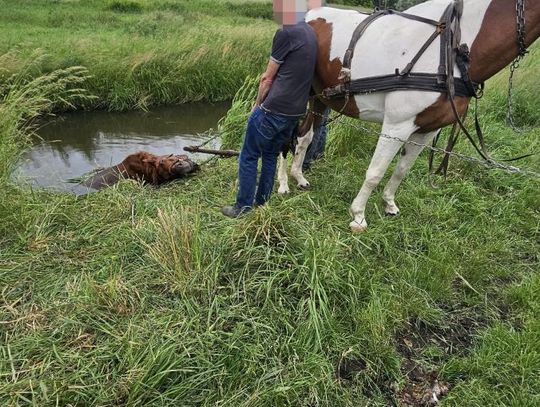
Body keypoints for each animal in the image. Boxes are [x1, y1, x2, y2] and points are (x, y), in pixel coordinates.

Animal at [276, 0, 536, 233]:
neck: (452, 50)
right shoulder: (397, 126)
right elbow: (375, 172)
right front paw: (358, 216)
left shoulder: (426, 129)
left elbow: (402, 170)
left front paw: (389, 204)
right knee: (286, 137)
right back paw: (283, 184)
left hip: (320, 98)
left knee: (304, 136)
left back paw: (299, 177)